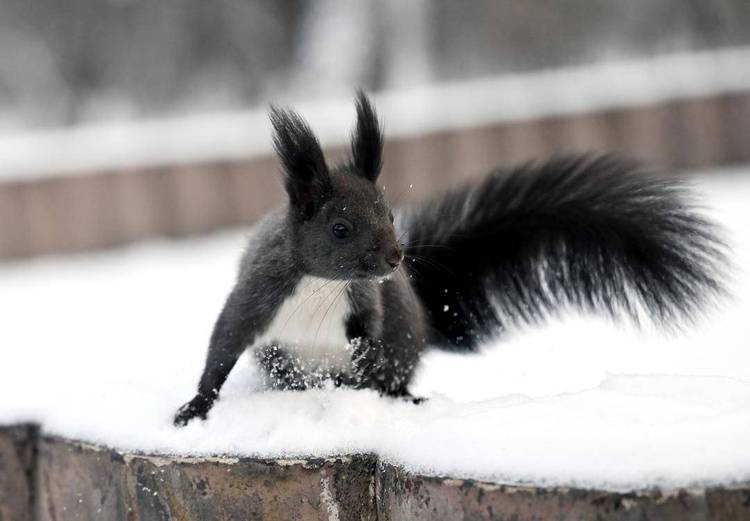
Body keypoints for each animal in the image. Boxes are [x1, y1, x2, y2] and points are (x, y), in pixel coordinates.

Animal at [172, 91, 728, 424]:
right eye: (339, 228)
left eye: (390, 213)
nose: (394, 258)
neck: (319, 284)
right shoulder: (260, 294)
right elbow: (222, 346)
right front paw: (194, 408)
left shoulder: (366, 303)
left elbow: (369, 335)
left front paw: (366, 357)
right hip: (284, 358)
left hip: (403, 339)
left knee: (393, 377)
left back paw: (399, 395)